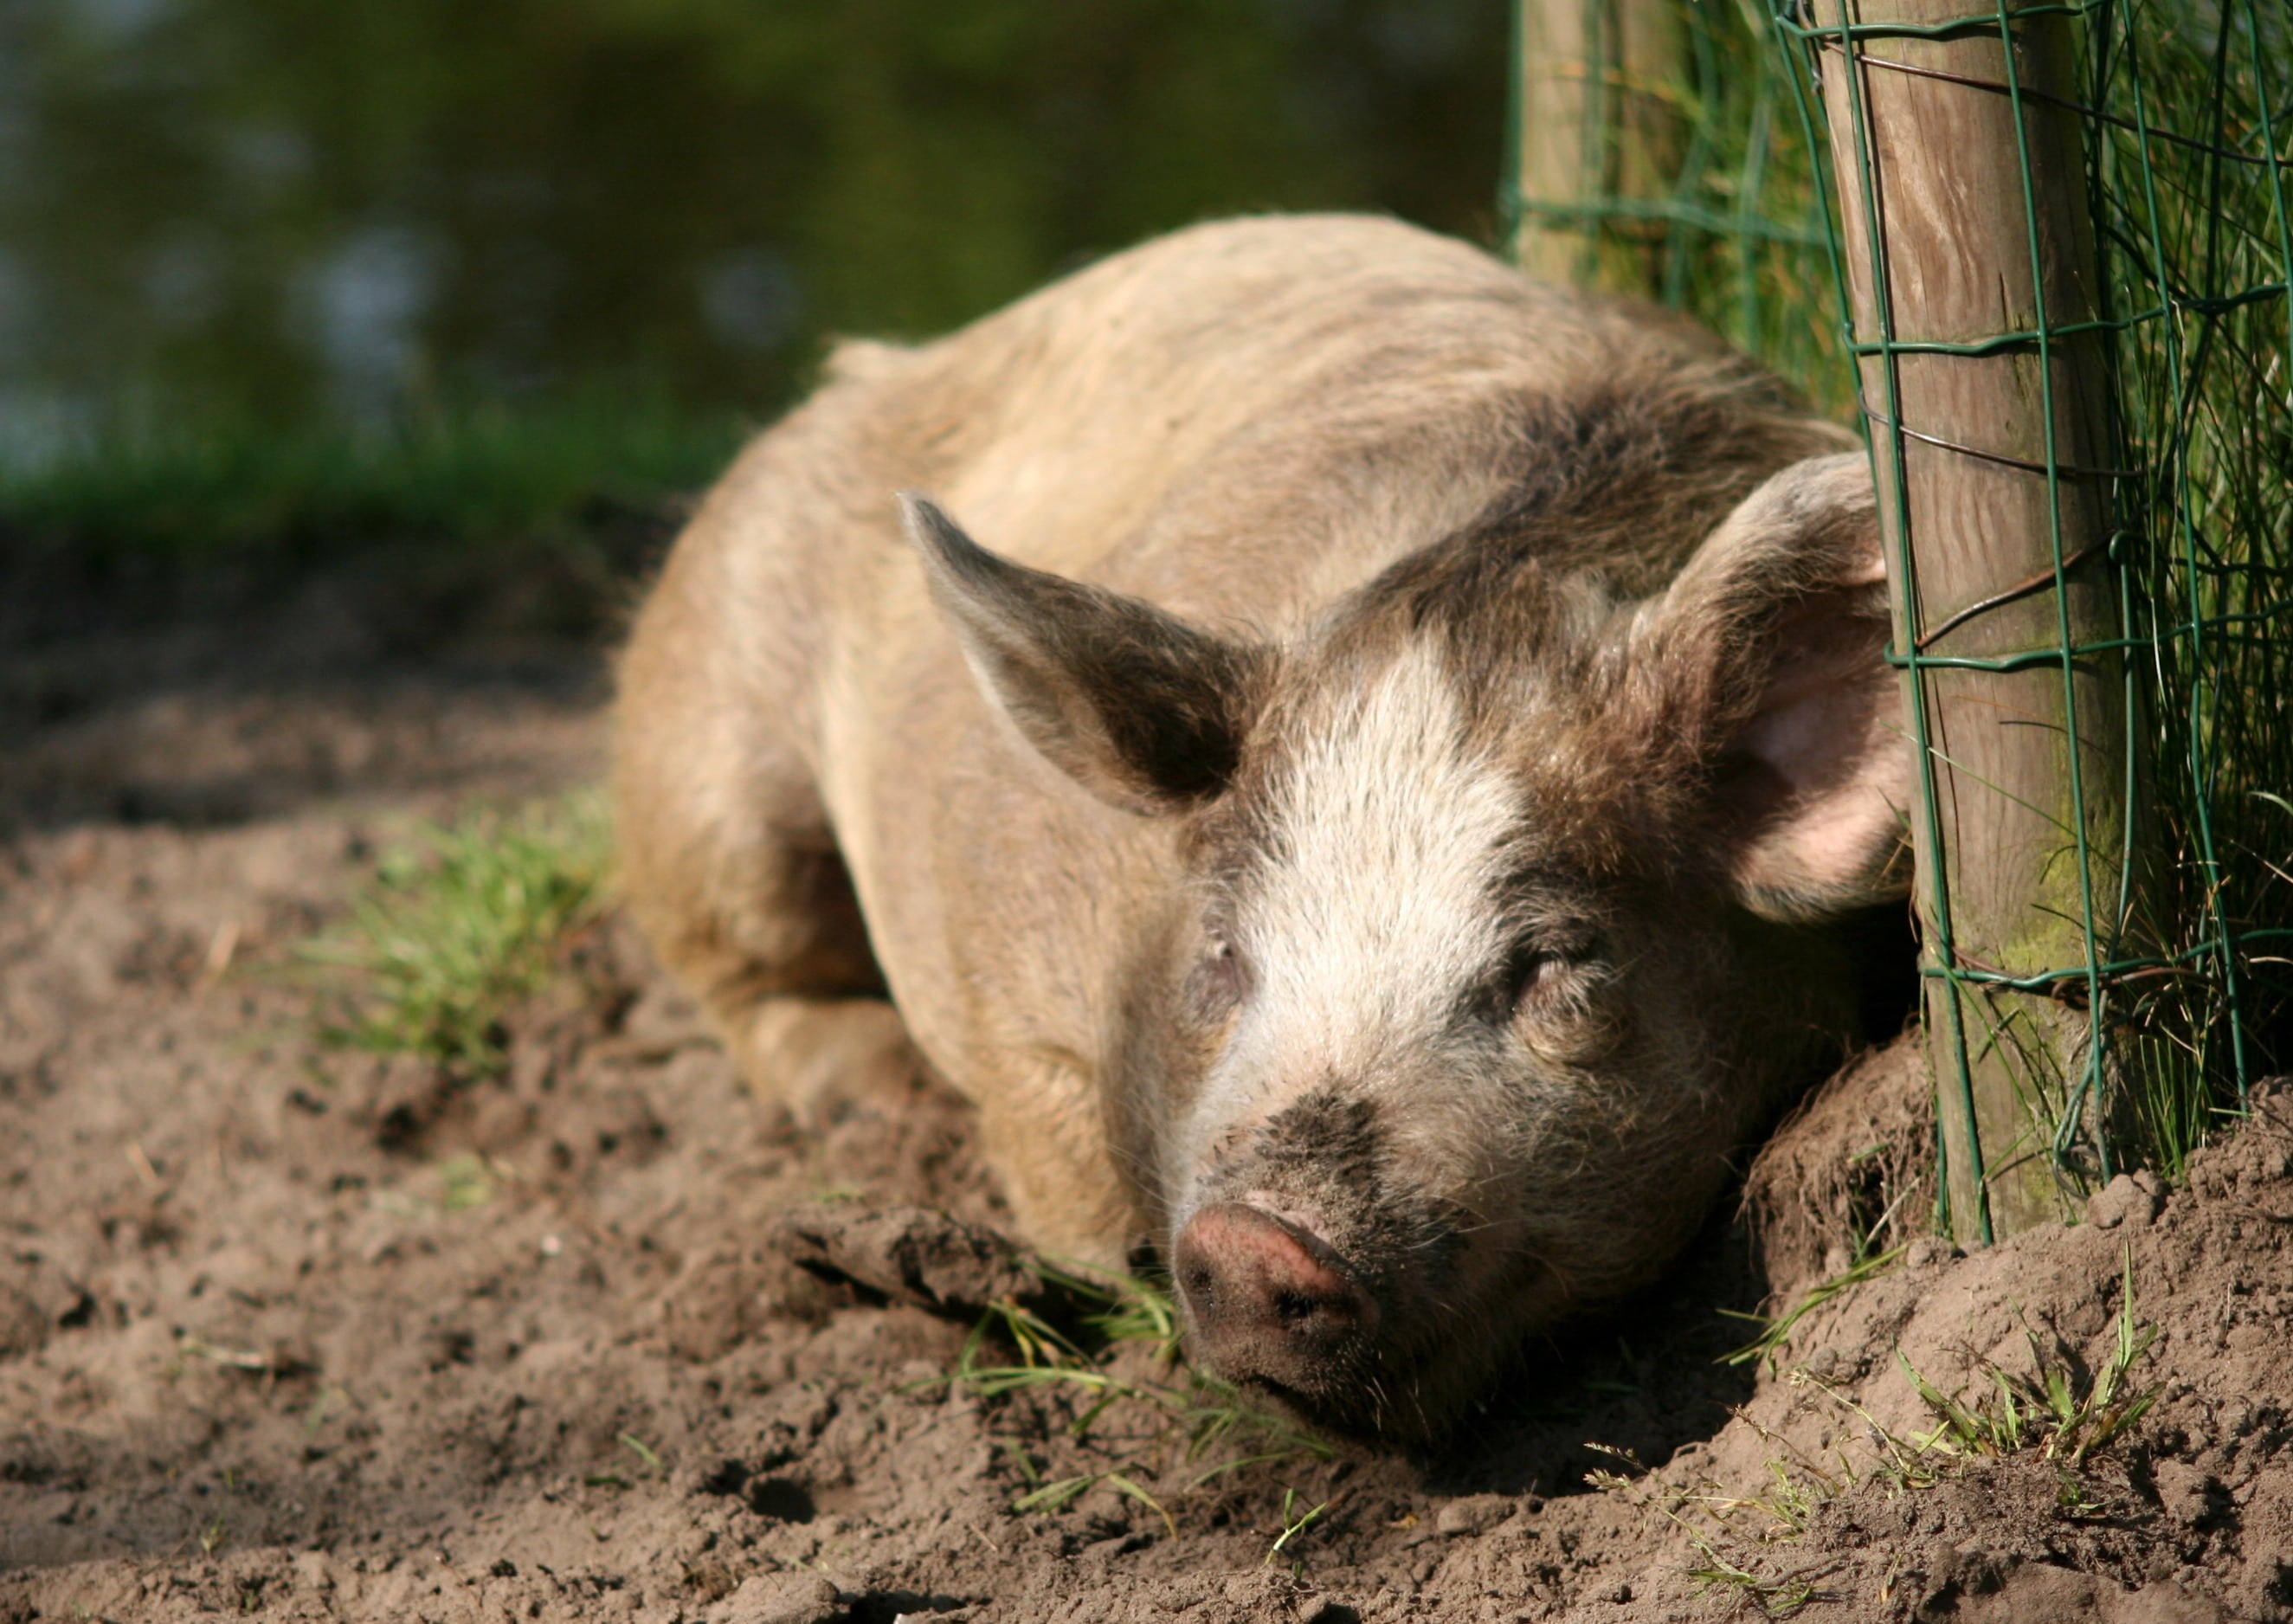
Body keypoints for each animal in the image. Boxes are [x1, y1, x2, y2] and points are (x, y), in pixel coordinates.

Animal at [614, 215, 1912, 1440]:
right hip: (707, 756)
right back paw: (870, 1095)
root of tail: (883, 364)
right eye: (1225, 952)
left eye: (1555, 962)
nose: (1256, 1241)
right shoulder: (1002, 954)